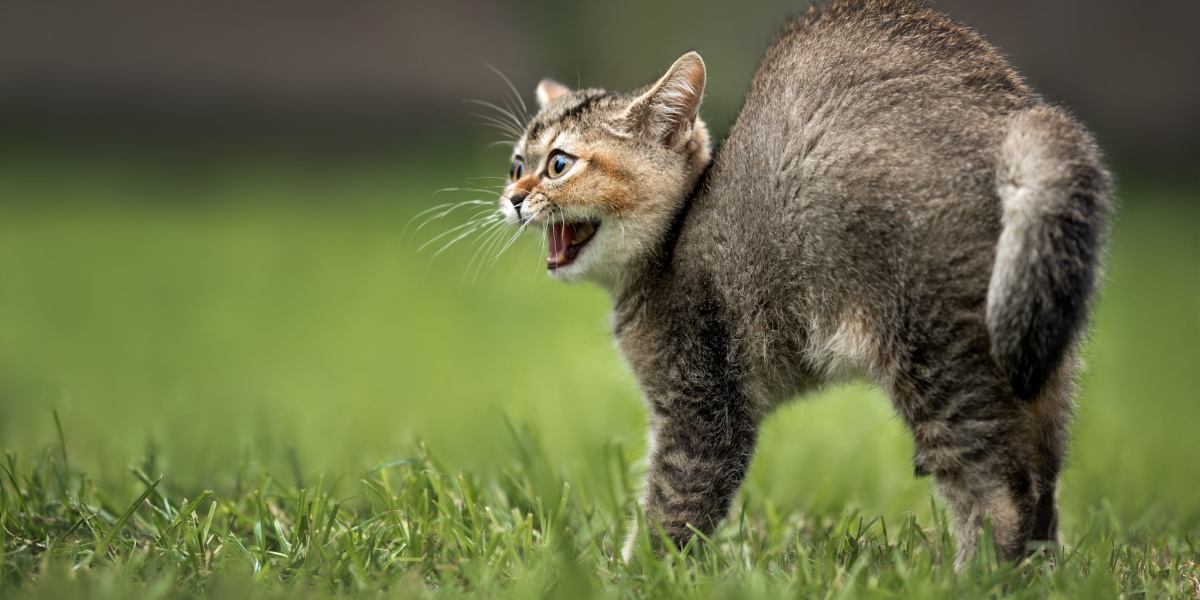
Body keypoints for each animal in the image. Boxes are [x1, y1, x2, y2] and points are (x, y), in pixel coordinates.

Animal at [492, 0, 1108, 566]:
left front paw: (631, 575)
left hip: (938, 357)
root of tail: (1006, 120)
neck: (668, 248)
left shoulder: (703, 409)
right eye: (516, 164)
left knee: (1001, 498)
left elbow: (671, 510)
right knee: (1043, 492)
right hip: (1038, 349)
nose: (513, 197)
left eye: (559, 164)